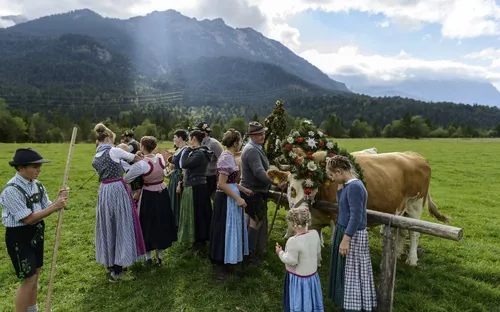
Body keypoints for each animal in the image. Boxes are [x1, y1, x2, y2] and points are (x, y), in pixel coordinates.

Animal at [268, 149, 452, 266]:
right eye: (290, 186)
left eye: (313, 186)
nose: (301, 213)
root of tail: (415, 155)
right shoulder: (314, 220)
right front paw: (316, 262)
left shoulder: (337, 219)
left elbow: (336, 242)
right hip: (401, 210)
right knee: (401, 231)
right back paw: (398, 254)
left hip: (415, 205)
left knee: (414, 233)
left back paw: (412, 260)